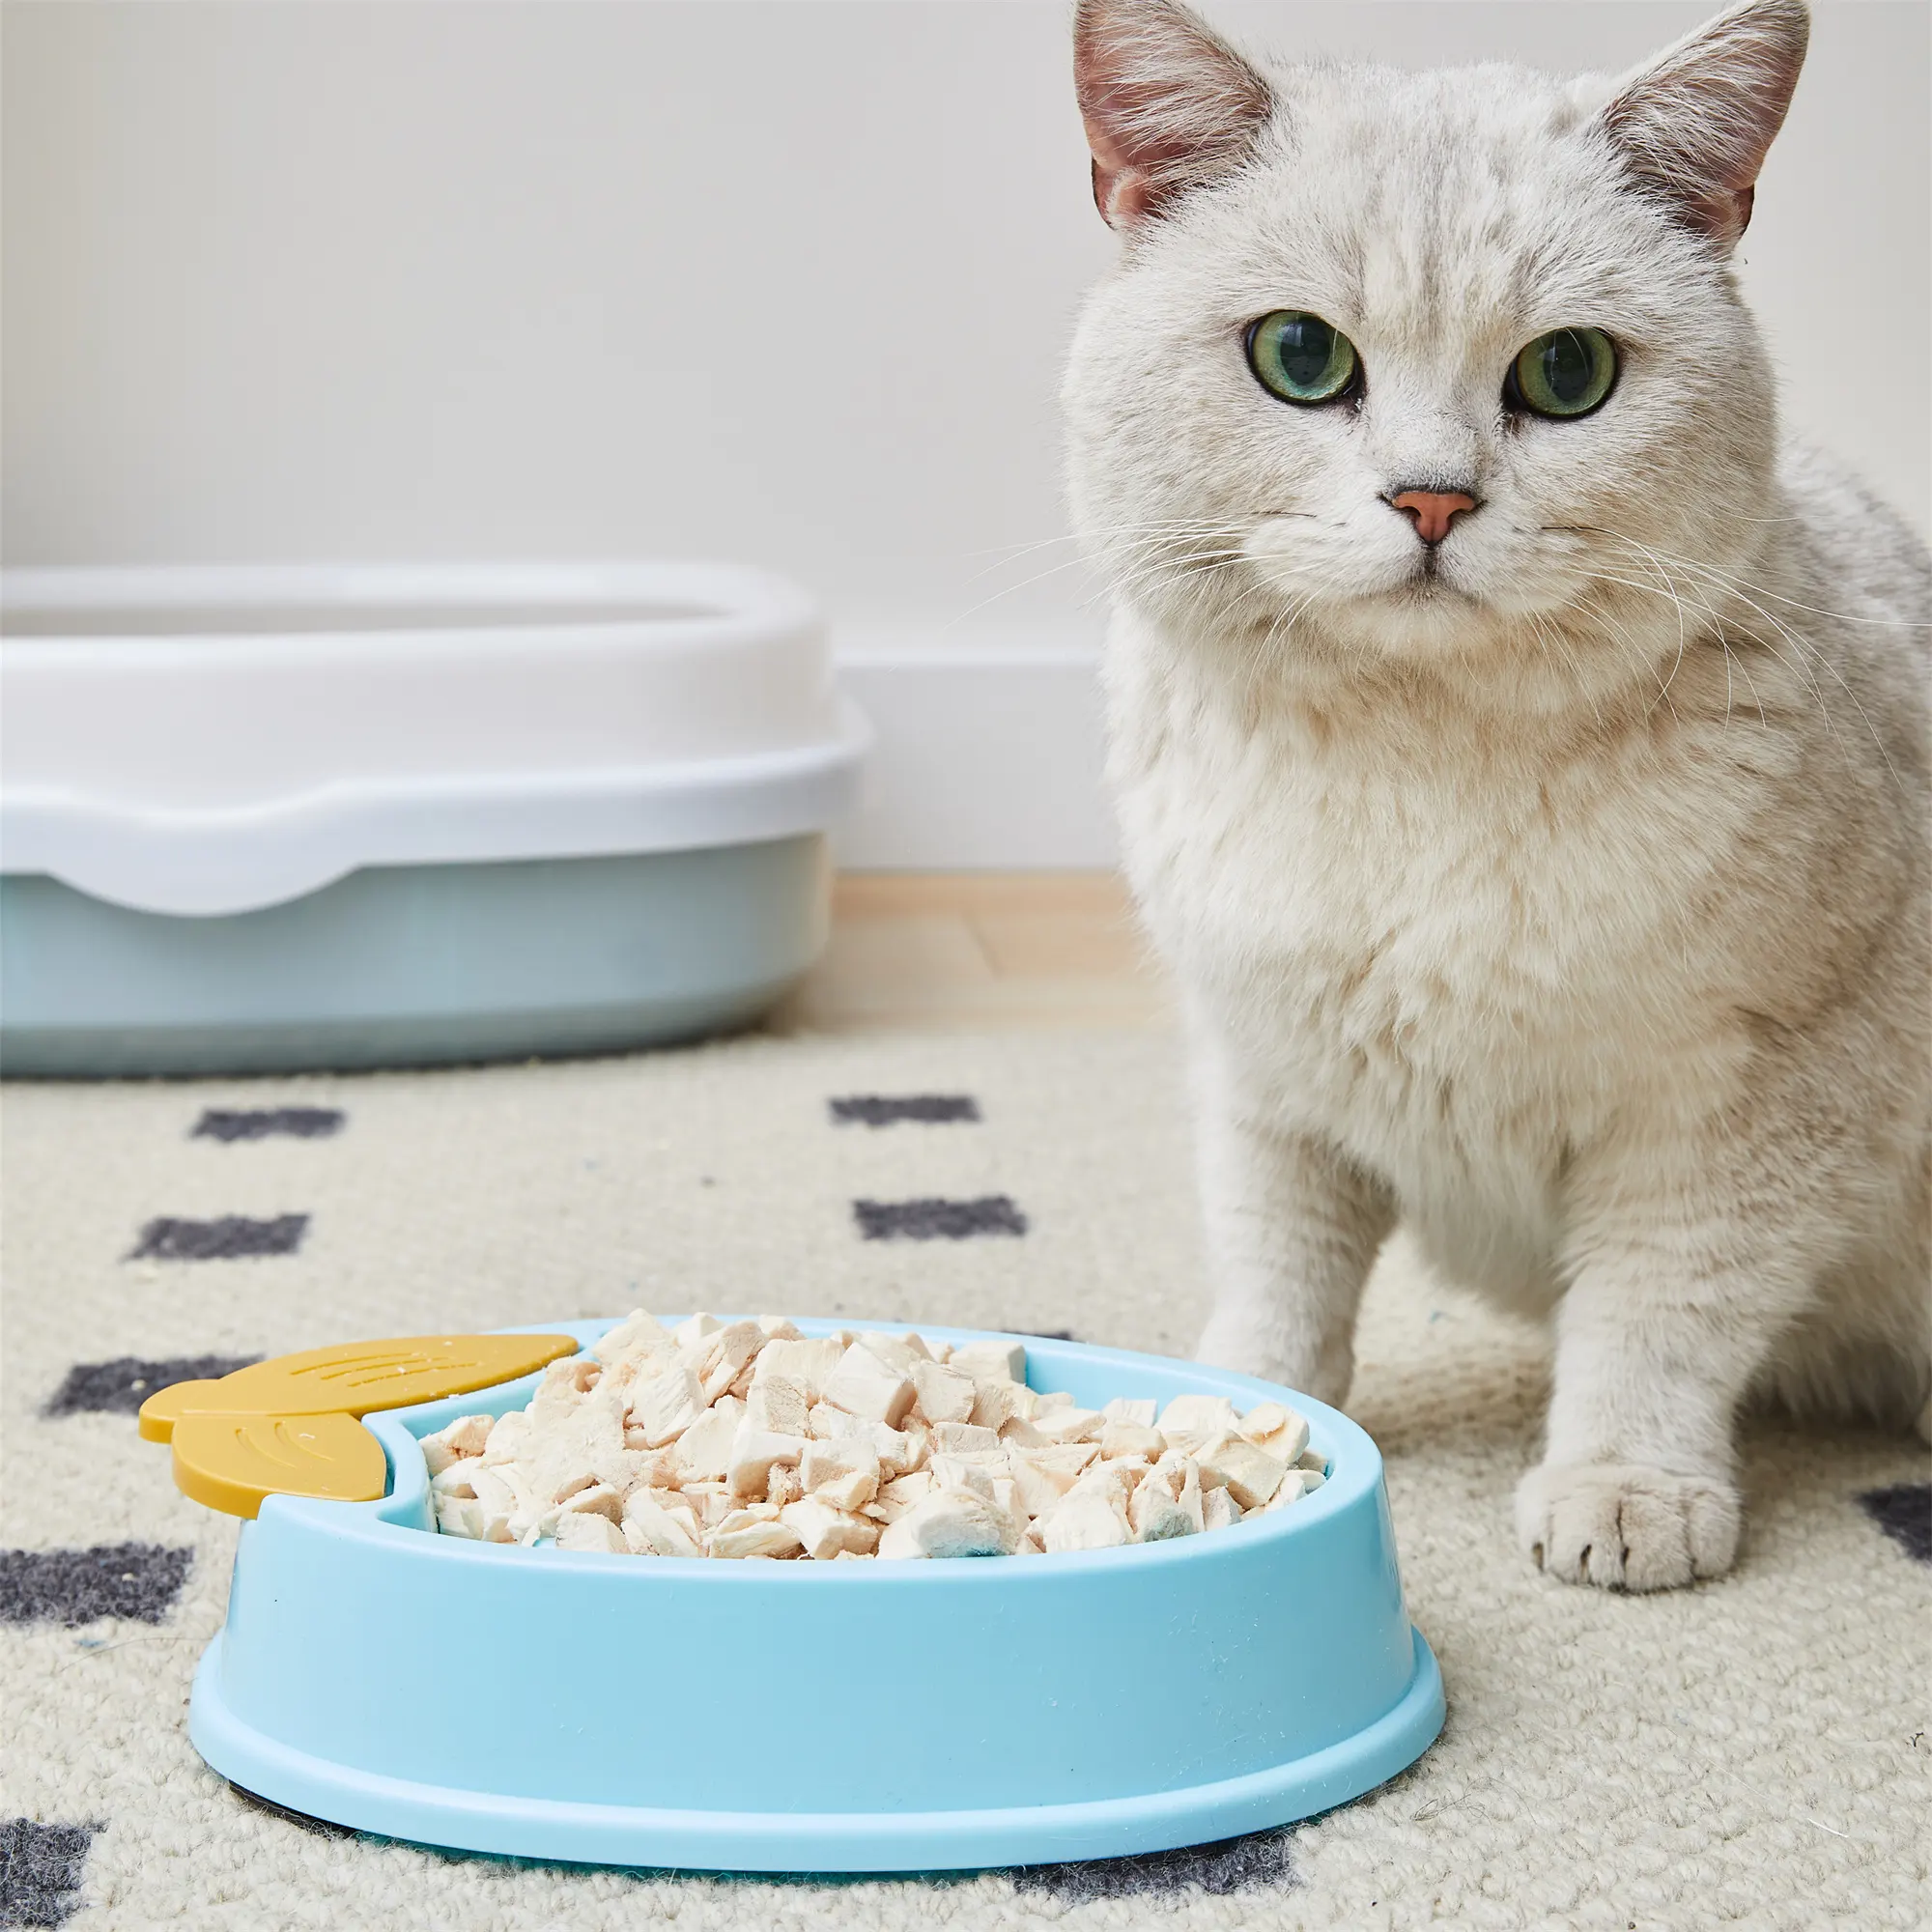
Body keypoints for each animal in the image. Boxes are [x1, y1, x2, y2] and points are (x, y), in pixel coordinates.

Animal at [1066, 0, 1924, 1592]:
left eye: (1568, 374)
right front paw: (1238, 1411)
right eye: (1297, 355)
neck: (1413, 774)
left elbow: (1659, 1311)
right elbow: (1280, 1270)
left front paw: (1625, 1487)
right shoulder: (1265, 1074)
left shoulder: (1754, 1103)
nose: (1431, 499)